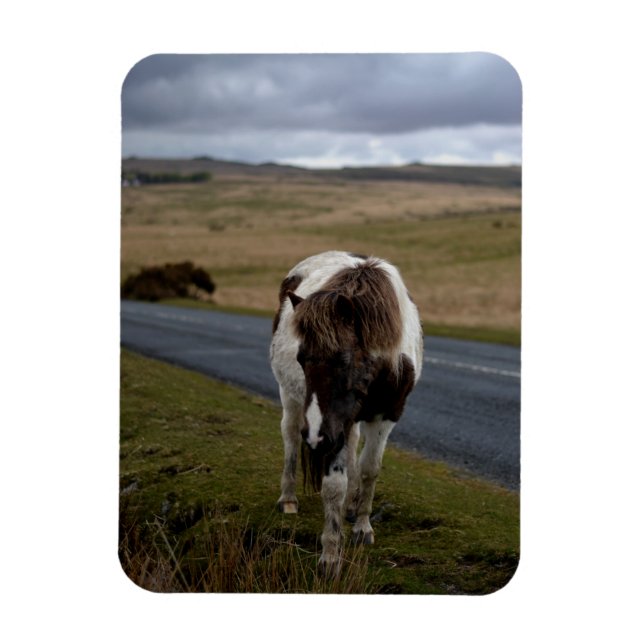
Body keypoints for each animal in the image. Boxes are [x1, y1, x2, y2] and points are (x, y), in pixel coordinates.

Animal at [270, 251, 423, 573]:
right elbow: (333, 486)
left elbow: (369, 469)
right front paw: (330, 555)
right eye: (301, 358)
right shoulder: (332, 427)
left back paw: (352, 508)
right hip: (291, 399)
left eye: (343, 359)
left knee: (354, 450)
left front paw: (363, 526)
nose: (316, 438)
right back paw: (288, 499)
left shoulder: (385, 415)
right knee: (290, 438)